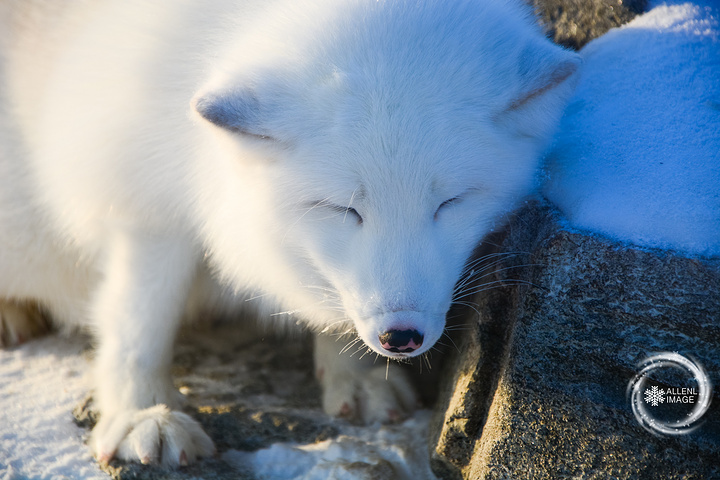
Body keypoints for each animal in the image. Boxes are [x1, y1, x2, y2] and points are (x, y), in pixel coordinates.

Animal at [0, 0, 576, 466]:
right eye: (343, 209)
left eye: (449, 203)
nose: (401, 337)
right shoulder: (141, 198)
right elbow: (139, 319)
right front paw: (143, 414)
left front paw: (354, 375)